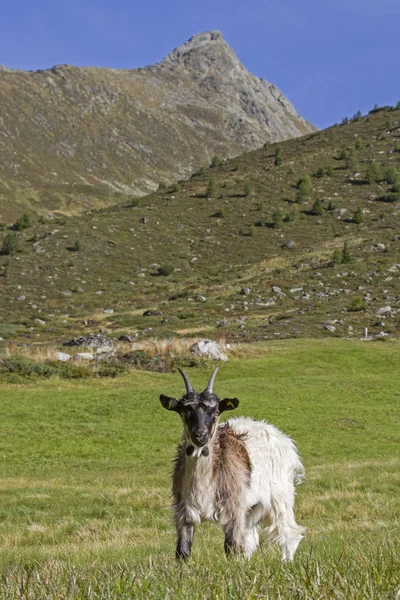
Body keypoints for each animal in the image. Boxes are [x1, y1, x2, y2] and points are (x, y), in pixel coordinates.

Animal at [159, 368, 306, 560]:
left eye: (215, 412)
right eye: (184, 411)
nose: (200, 434)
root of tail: (284, 440)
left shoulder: (234, 508)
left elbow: (232, 547)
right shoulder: (183, 511)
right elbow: (182, 551)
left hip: (281, 496)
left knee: (288, 534)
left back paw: (286, 562)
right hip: (253, 508)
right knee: (250, 539)